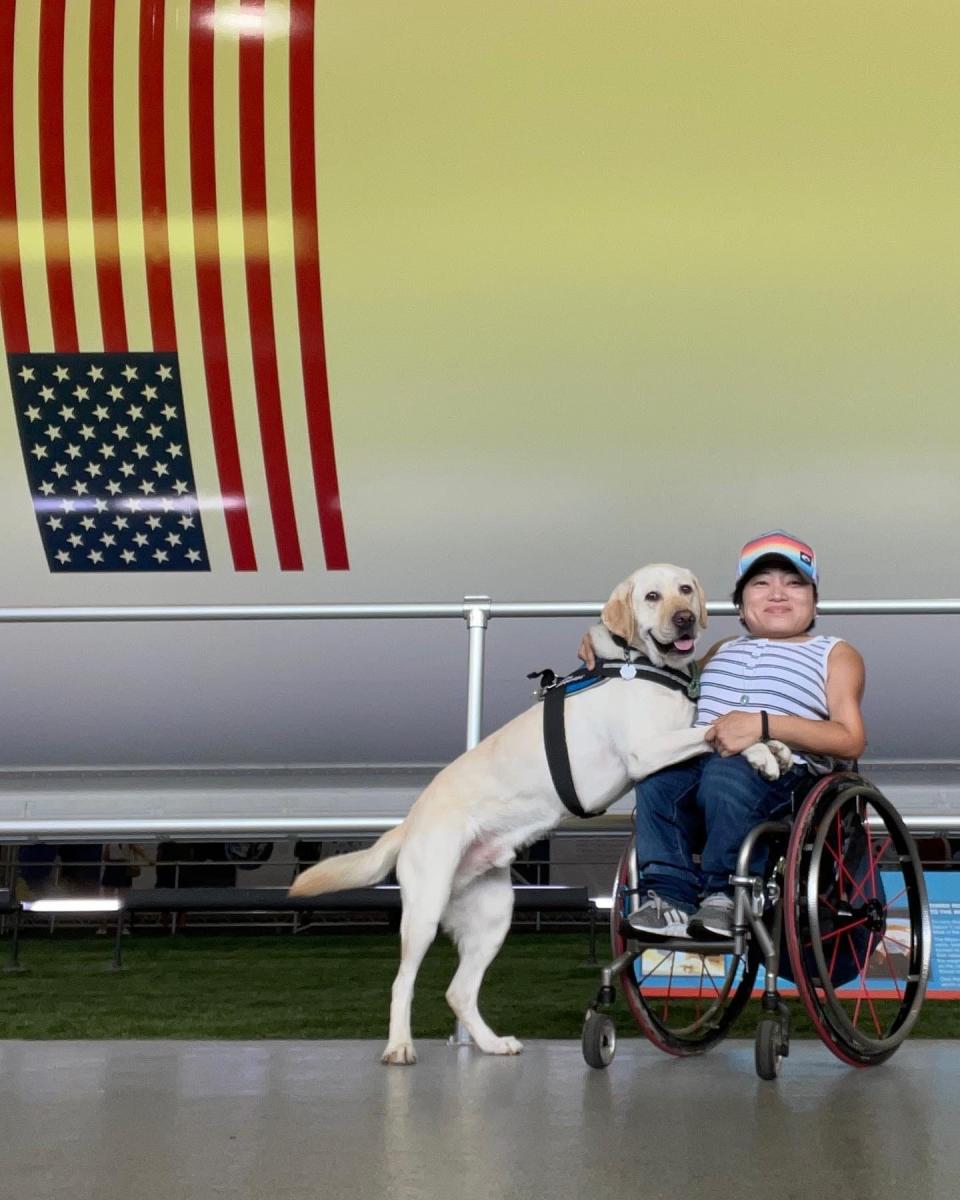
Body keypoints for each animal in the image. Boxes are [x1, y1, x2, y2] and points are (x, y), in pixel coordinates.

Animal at [290, 561, 787, 1060]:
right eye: (652, 596)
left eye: (685, 590)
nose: (684, 619)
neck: (640, 664)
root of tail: (409, 822)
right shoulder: (646, 751)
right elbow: (716, 732)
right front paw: (763, 753)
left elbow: (719, 730)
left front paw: (776, 746)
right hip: (425, 911)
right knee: (402, 983)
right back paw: (399, 1047)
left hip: (494, 916)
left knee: (458, 991)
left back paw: (492, 1044)